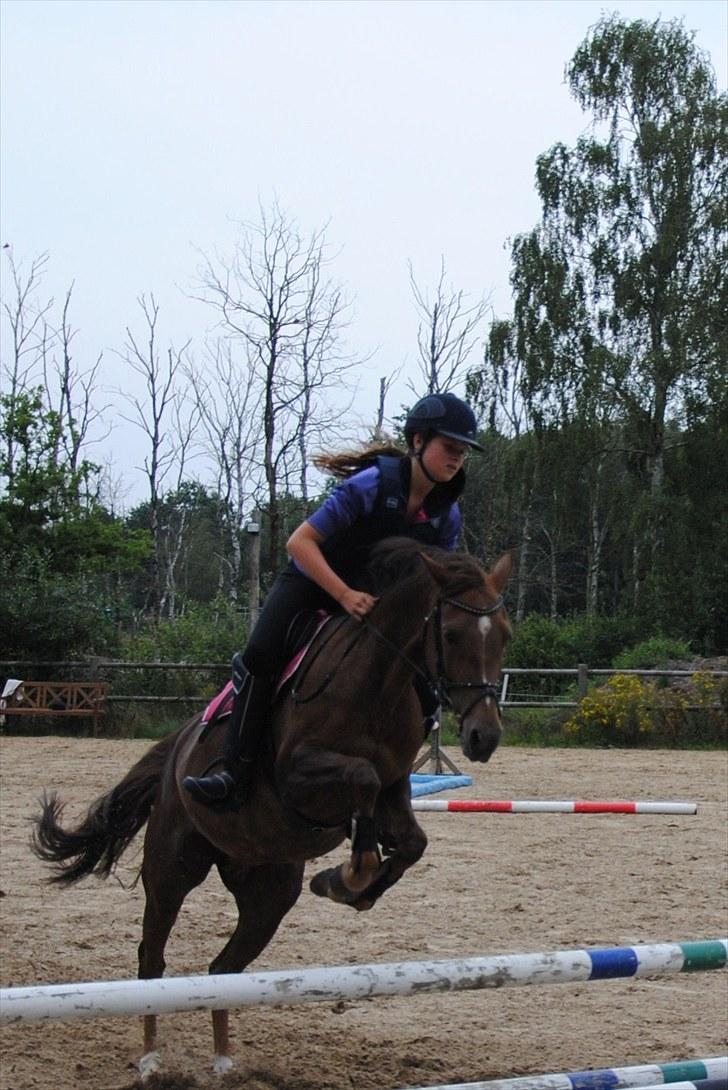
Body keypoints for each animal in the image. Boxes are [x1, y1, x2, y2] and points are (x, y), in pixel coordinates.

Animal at [32, 536, 512, 1072]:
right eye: (450, 634)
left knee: (223, 969)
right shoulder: (297, 777)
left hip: (269, 892)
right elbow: (361, 780)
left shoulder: (394, 787)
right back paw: (151, 1059)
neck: (377, 684)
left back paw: (223, 1063)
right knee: (151, 959)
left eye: (505, 636)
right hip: (172, 868)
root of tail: (177, 749)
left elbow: (411, 840)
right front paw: (352, 874)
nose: (484, 736)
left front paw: (349, 885)